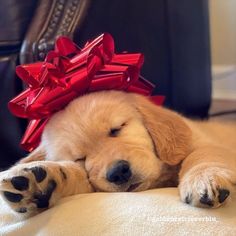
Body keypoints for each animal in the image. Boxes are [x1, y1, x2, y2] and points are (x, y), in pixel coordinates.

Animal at [0, 91, 236, 218]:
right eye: (80, 157)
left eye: (116, 129)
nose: (119, 173)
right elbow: (76, 175)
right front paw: (38, 179)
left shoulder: (202, 141)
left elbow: (202, 155)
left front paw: (204, 180)